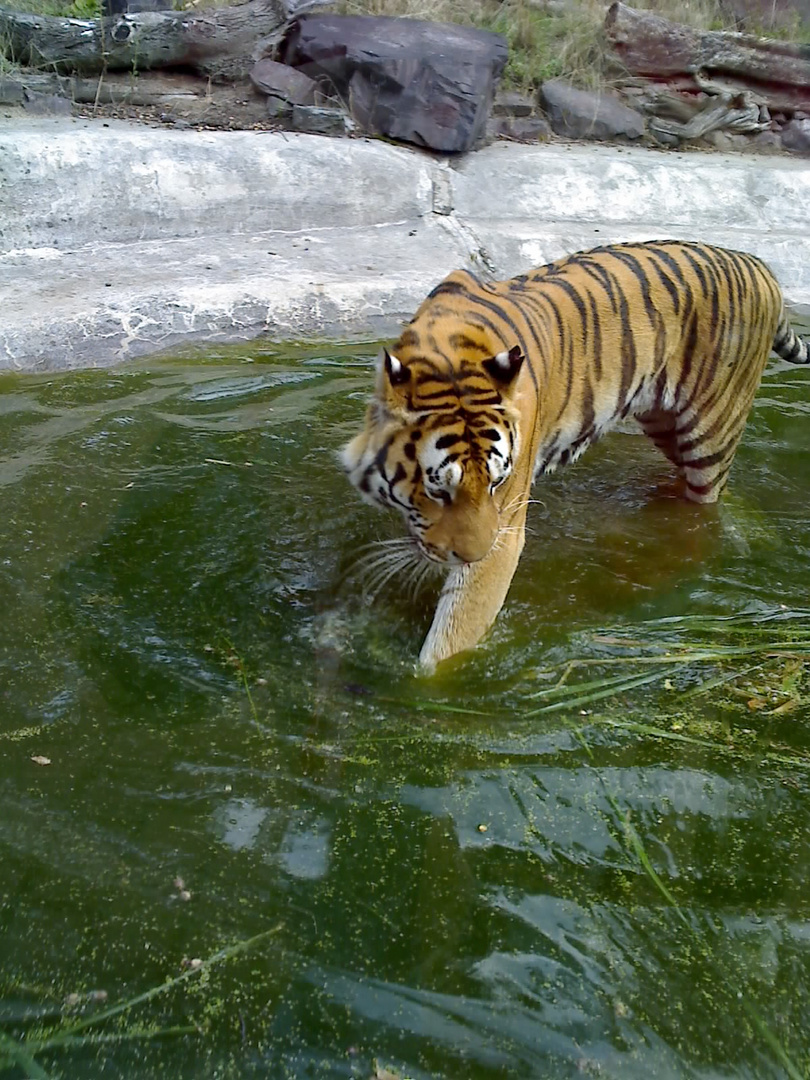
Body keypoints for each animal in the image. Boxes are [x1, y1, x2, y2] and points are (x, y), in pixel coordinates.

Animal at [339, 240, 807, 669]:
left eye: (495, 483)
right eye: (438, 491)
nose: (472, 555)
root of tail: (756, 262)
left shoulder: (505, 525)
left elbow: (455, 632)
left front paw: (424, 686)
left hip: (710, 435)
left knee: (707, 505)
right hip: (665, 425)